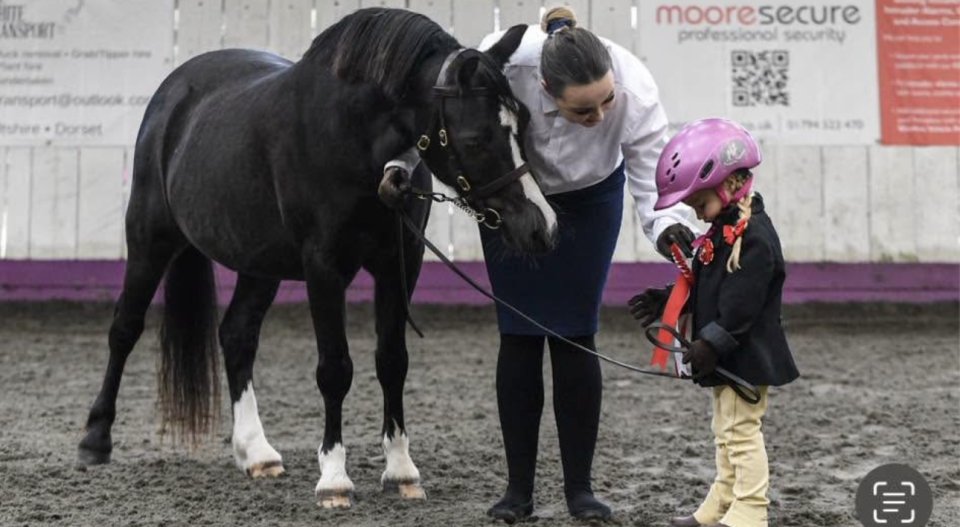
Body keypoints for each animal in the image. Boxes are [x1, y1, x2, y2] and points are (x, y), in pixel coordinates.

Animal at [76, 8, 553, 508]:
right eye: (477, 138)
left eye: (522, 124)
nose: (540, 226)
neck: (353, 139)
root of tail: (174, 92)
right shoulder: (324, 267)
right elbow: (335, 369)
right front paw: (334, 479)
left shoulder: (399, 262)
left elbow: (392, 360)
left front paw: (401, 470)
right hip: (150, 239)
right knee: (125, 328)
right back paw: (95, 440)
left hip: (258, 263)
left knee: (237, 335)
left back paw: (256, 451)